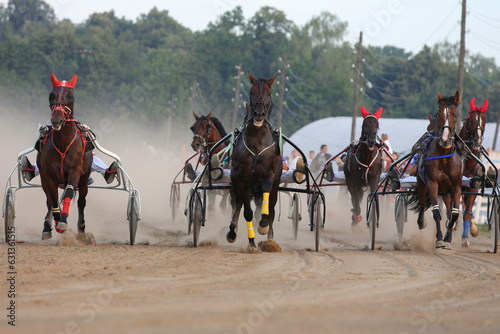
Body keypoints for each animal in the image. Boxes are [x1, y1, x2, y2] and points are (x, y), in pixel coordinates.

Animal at [37, 74, 93, 239]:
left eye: (70, 96)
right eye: (51, 95)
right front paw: (56, 223)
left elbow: (68, 191)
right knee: (49, 200)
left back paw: (81, 230)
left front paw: (63, 221)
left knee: (81, 201)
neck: (63, 144)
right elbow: (53, 200)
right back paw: (47, 227)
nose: (57, 120)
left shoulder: (75, 171)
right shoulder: (48, 176)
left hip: (84, 179)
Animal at [227, 71, 282, 248]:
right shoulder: (242, 180)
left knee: (271, 209)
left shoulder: (270, 174)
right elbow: (247, 212)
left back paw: (270, 239)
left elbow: (266, 191)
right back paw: (233, 231)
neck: (257, 142)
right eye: (251, 92)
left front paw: (263, 225)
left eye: (269, 93)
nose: (259, 114)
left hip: (275, 187)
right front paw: (251, 243)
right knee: (237, 204)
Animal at [408, 90, 462, 248]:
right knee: (422, 202)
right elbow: (436, 212)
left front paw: (449, 235)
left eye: (455, 115)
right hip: (422, 184)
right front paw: (439, 239)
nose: (445, 139)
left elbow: (454, 213)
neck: (444, 157)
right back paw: (421, 222)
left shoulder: (456, 186)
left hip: (447, 192)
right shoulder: (432, 184)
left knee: (449, 208)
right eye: (438, 115)